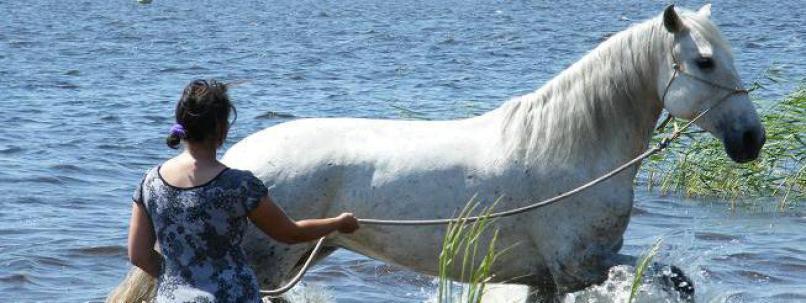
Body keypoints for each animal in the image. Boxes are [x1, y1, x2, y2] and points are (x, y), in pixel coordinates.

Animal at [109, 2, 772, 303]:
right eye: (705, 62)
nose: (752, 140)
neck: (575, 150)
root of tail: (244, 156)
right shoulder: (581, 266)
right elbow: (676, 281)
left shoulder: (549, 279)